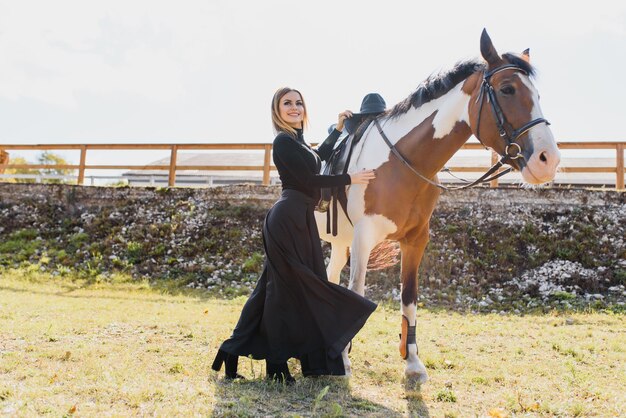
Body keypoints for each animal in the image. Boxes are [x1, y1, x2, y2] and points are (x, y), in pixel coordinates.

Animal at [314, 28, 560, 382]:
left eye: (537, 94)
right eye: (507, 89)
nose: (548, 160)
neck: (401, 162)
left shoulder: (415, 240)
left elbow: (409, 298)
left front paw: (413, 363)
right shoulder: (364, 237)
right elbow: (357, 291)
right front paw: (345, 362)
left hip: (340, 242)